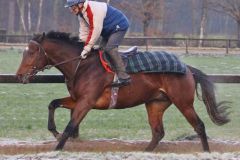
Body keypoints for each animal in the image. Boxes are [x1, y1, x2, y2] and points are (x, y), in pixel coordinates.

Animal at [15, 31, 230, 151]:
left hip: (183, 102)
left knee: (199, 126)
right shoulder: (78, 99)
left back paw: (206, 152)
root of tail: (187, 68)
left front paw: (57, 148)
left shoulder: (86, 102)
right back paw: (145, 152)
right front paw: (54, 132)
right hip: (156, 103)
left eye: (32, 52)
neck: (81, 65)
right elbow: (53, 103)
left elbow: (70, 126)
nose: (19, 75)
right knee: (158, 132)